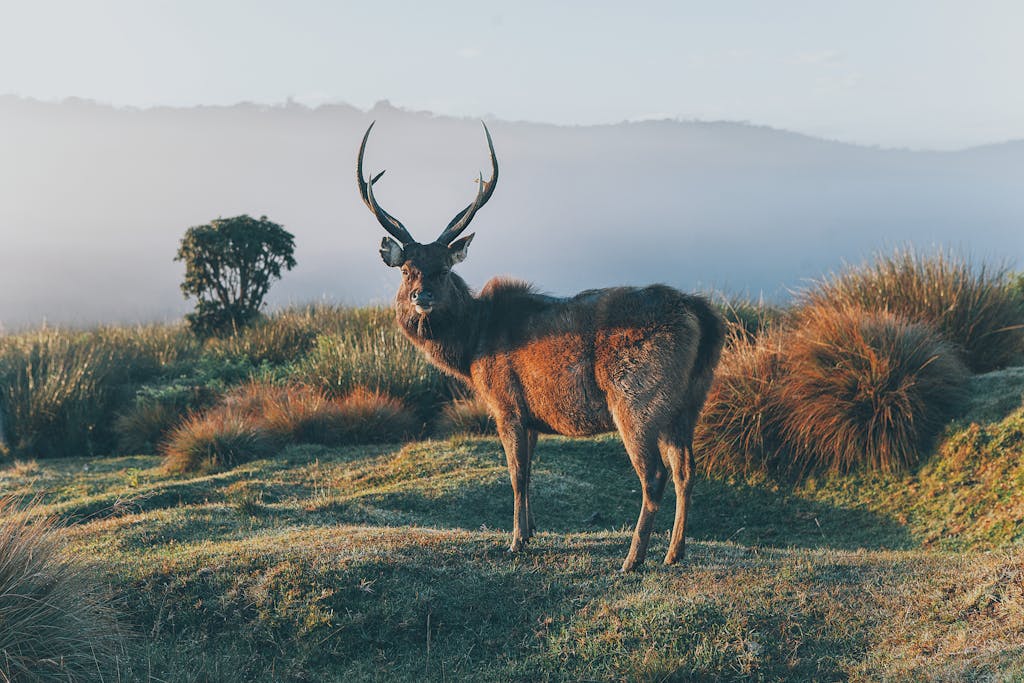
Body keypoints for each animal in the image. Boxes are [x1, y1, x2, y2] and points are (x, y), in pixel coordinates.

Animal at [356, 121, 725, 571]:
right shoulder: (532, 415)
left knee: (654, 475)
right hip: (689, 401)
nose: (420, 296)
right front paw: (531, 531)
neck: (472, 347)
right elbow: (530, 472)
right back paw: (674, 552)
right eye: (407, 269)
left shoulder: (506, 403)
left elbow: (516, 474)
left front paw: (515, 541)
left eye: (443, 269)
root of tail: (704, 316)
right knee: (686, 469)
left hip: (637, 398)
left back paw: (633, 558)